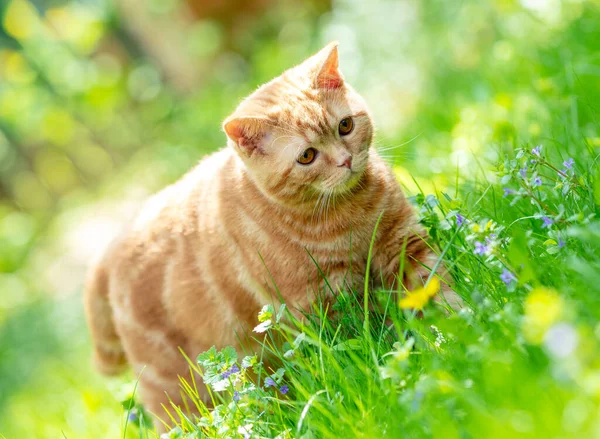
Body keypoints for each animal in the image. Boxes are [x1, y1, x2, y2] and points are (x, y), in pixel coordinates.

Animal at [84, 42, 460, 434]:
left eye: (345, 125)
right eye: (307, 156)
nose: (345, 161)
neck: (345, 216)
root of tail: (111, 246)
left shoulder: (401, 243)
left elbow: (435, 291)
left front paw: (452, 333)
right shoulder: (318, 303)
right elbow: (362, 341)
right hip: (179, 391)